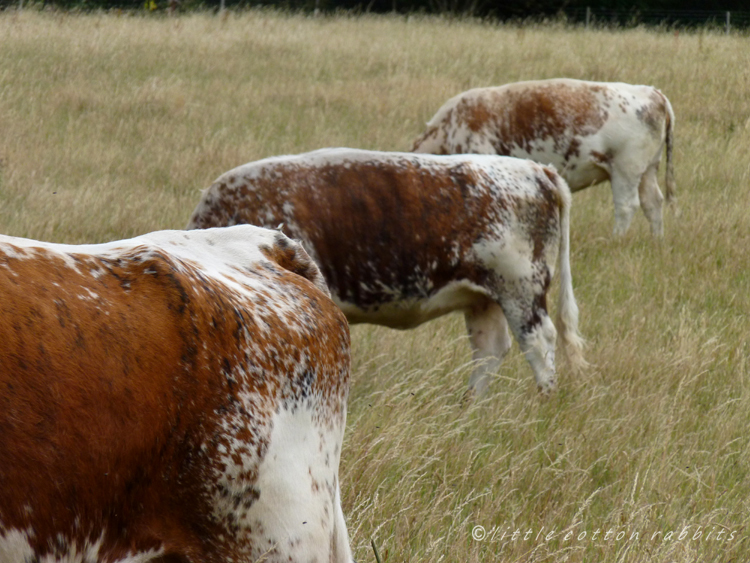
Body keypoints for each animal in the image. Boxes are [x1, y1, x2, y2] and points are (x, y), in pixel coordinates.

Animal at [188, 148, 588, 398]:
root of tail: (538, 170)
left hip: (520, 288)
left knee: (539, 343)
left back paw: (543, 400)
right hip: (484, 297)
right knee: (490, 350)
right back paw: (470, 406)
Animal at [414, 78, 680, 237]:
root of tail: (653, 92)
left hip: (626, 169)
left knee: (627, 206)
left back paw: (615, 240)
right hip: (647, 170)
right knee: (653, 202)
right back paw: (656, 241)